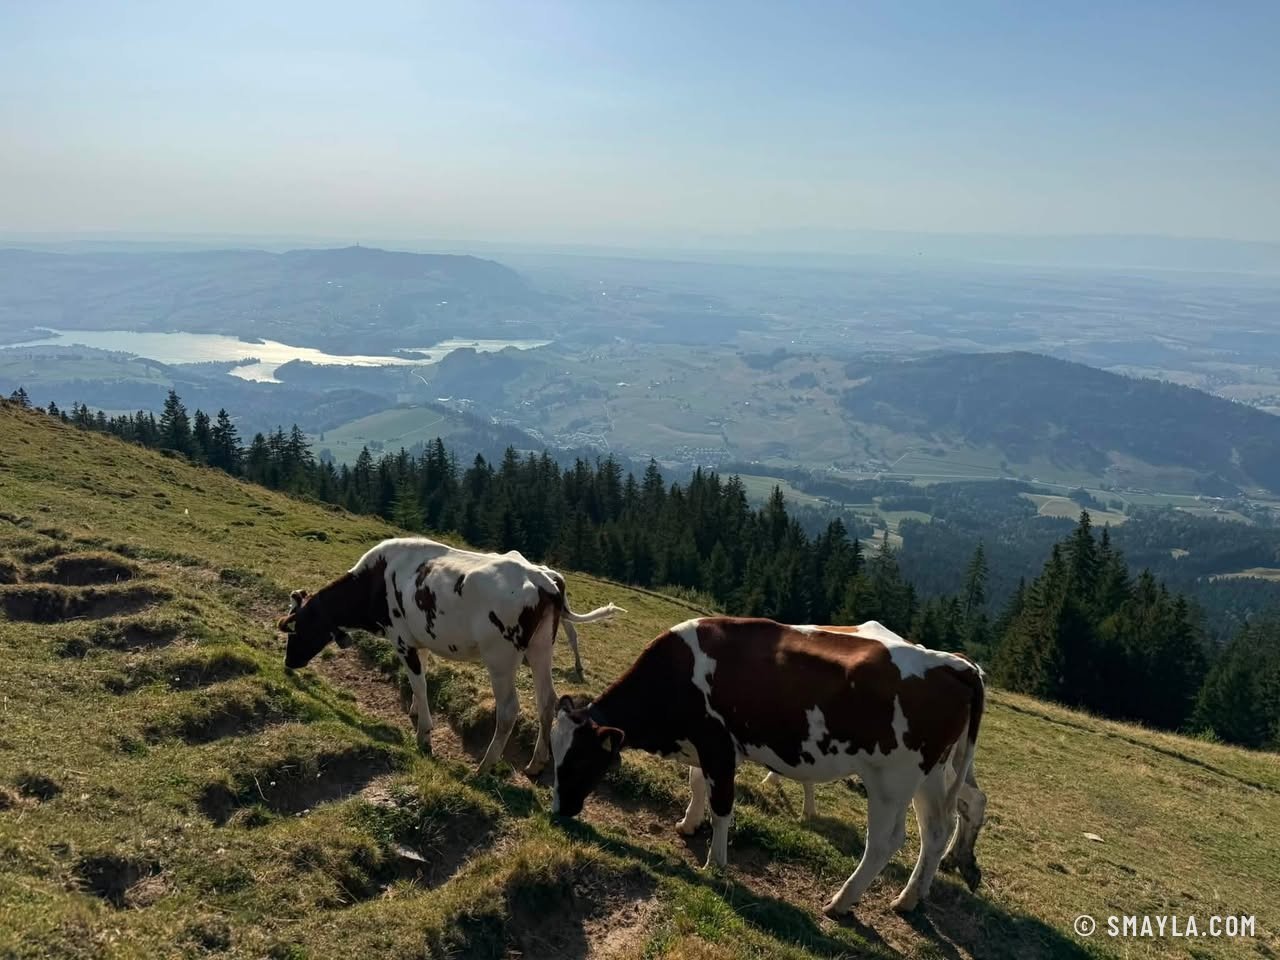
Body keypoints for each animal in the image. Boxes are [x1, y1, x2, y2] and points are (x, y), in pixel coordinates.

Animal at [278, 537, 623, 776]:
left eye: (297, 629)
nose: (288, 664)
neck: (376, 580)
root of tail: (544, 580)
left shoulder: (402, 639)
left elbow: (419, 683)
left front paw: (424, 735)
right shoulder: (419, 638)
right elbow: (420, 680)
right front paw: (415, 711)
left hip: (500, 658)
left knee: (509, 710)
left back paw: (484, 767)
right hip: (541, 649)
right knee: (547, 700)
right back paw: (536, 764)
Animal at [550, 617, 985, 915]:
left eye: (578, 760)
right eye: (554, 755)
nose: (558, 811)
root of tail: (955, 663)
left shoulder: (719, 745)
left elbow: (722, 806)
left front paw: (716, 863)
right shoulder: (704, 743)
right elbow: (696, 784)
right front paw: (688, 824)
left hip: (891, 779)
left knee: (884, 842)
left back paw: (841, 903)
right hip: (931, 774)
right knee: (936, 831)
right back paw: (908, 899)